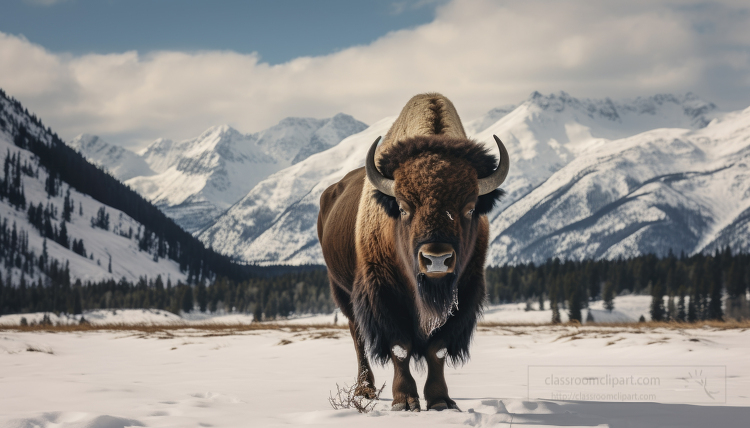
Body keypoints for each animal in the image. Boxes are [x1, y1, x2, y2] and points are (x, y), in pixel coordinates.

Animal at [318, 93, 512, 412]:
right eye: (403, 206)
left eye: (470, 207)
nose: (437, 259)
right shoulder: (384, 293)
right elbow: (400, 347)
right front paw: (405, 401)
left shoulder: (464, 294)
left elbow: (438, 349)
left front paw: (441, 401)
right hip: (342, 292)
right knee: (358, 337)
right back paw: (365, 390)